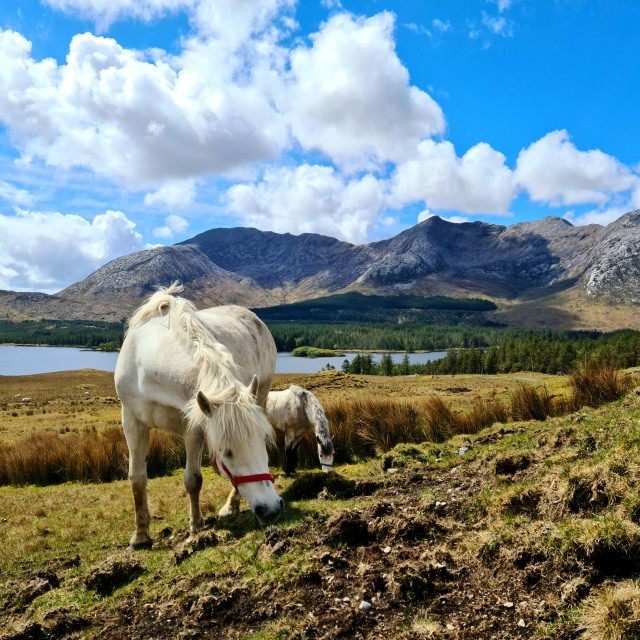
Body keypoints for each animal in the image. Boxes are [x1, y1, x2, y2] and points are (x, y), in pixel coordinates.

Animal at [114, 284, 282, 552]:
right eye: (226, 452)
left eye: (264, 440)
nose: (271, 509)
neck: (149, 359)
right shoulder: (132, 421)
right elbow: (137, 479)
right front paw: (140, 537)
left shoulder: (193, 428)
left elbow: (193, 479)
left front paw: (196, 529)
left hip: (262, 394)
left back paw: (230, 507)